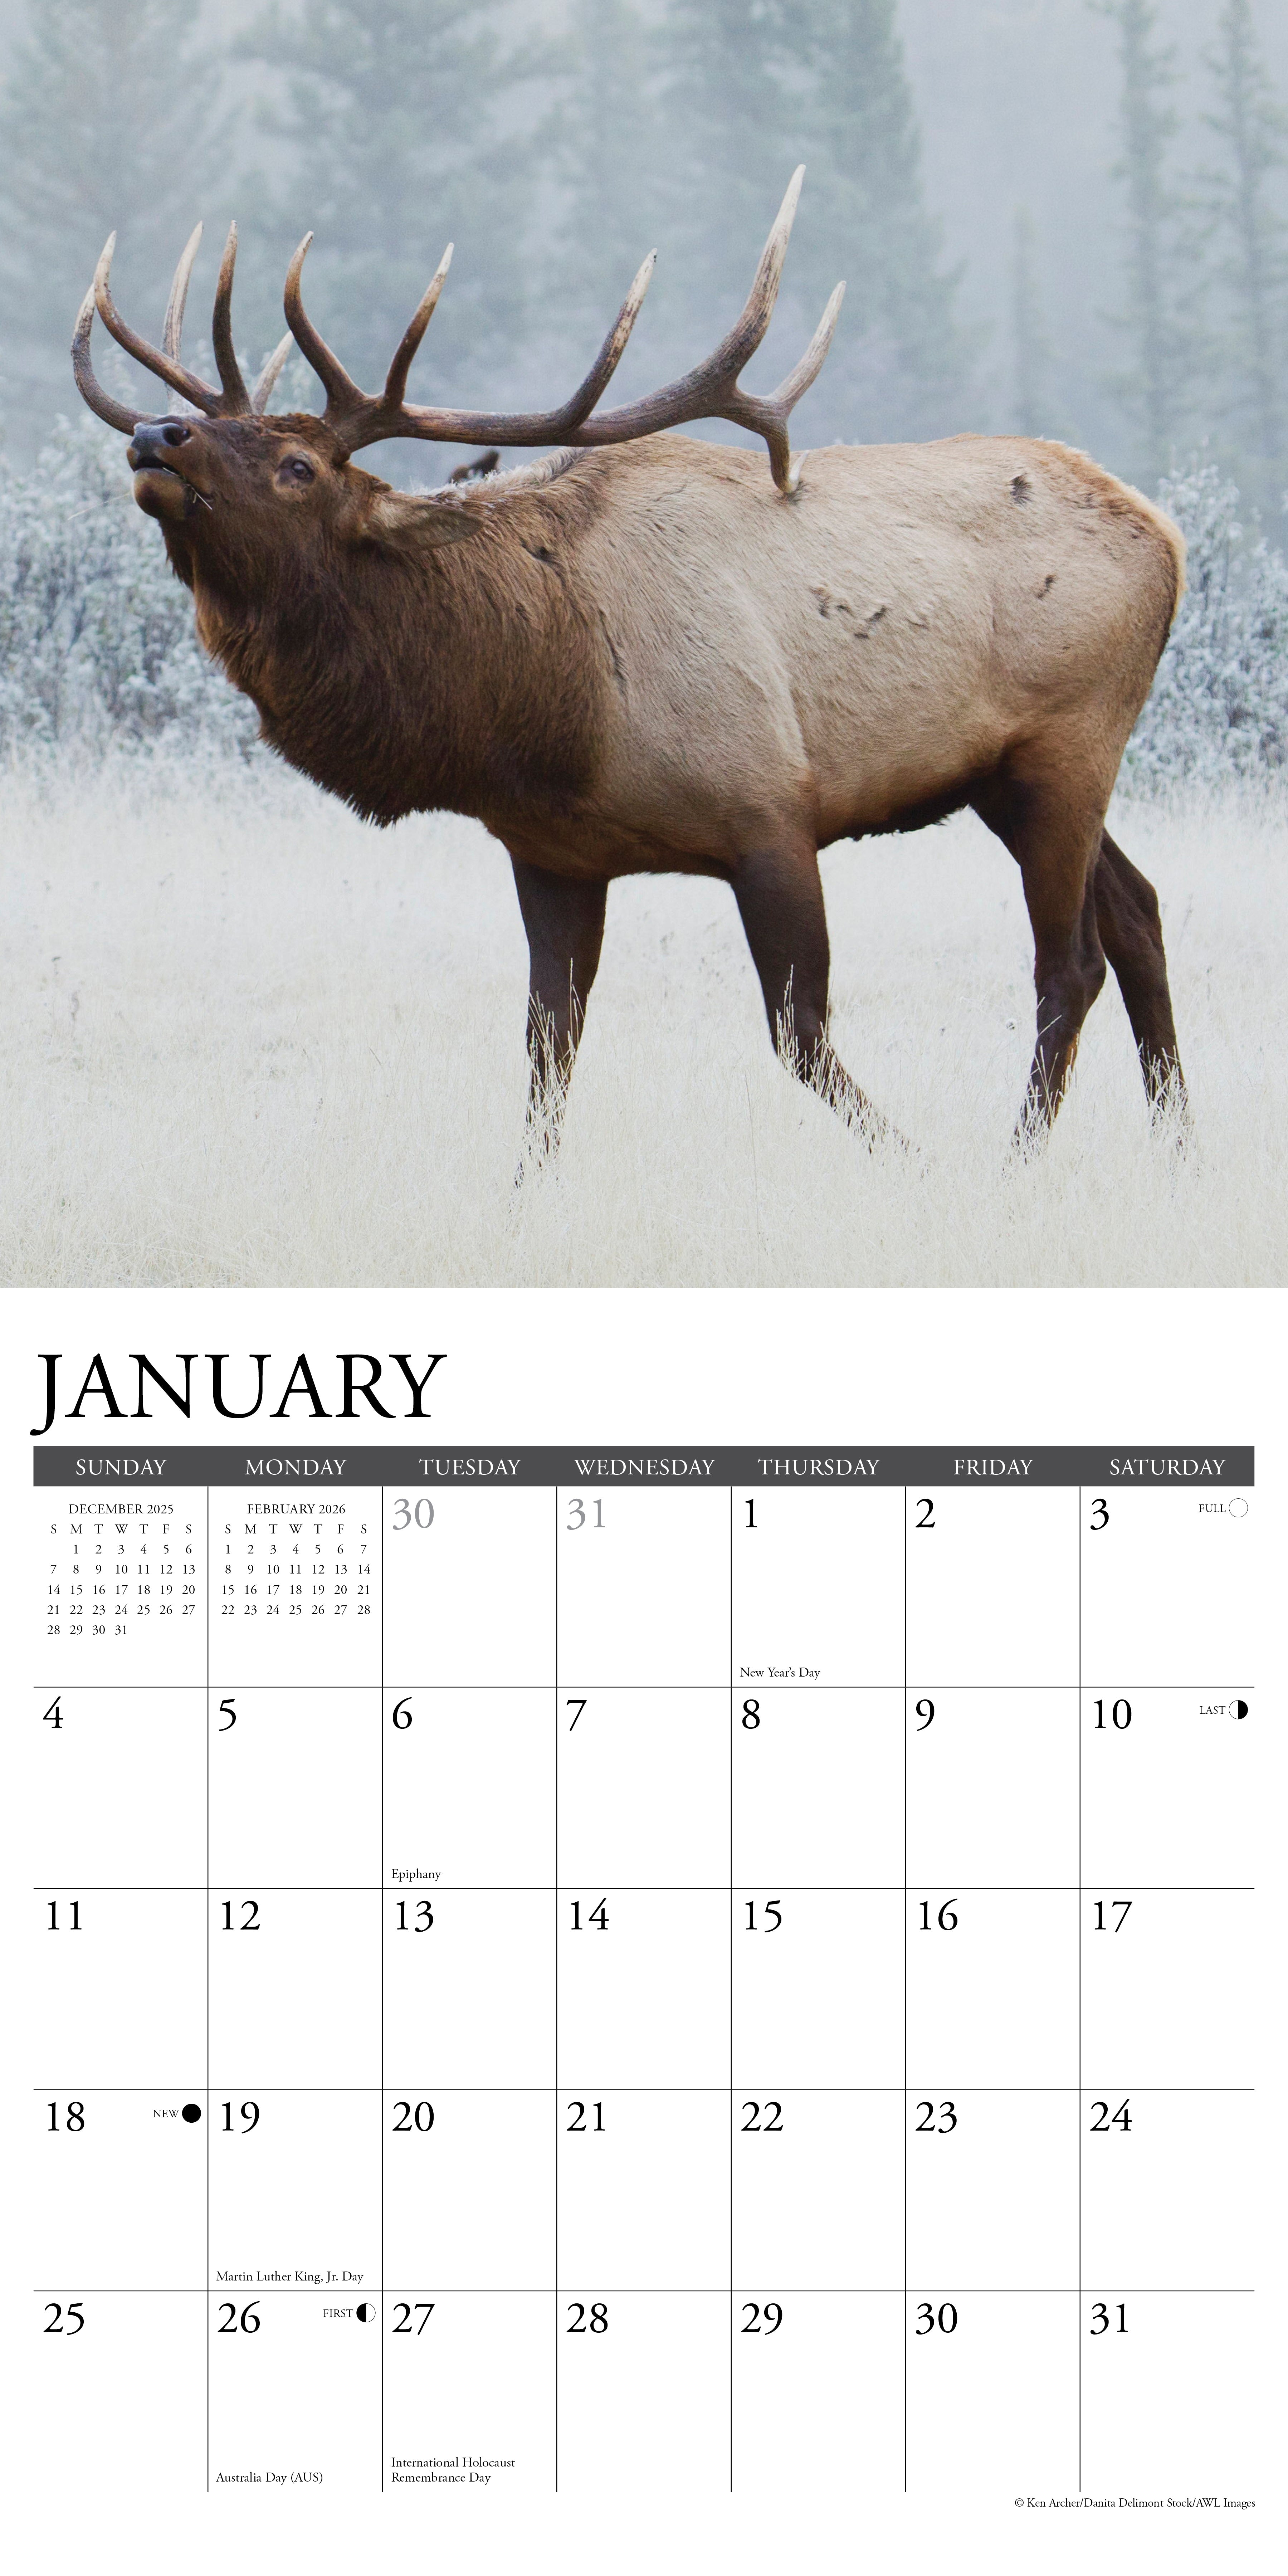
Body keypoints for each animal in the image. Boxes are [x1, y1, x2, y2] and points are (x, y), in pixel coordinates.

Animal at [72, 172, 1186, 1165]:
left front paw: (919, 1163)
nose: (159, 431)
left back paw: (1017, 1161)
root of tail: (1167, 537)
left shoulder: (770, 813)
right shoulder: (552, 855)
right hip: (1007, 777)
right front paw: (525, 1195)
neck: (541, 714)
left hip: (1069, 743)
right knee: (1137, 912)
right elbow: (548, 1049)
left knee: (1069, 960)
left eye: (298, 468)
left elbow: (800, 1036)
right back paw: (1180, 1148)